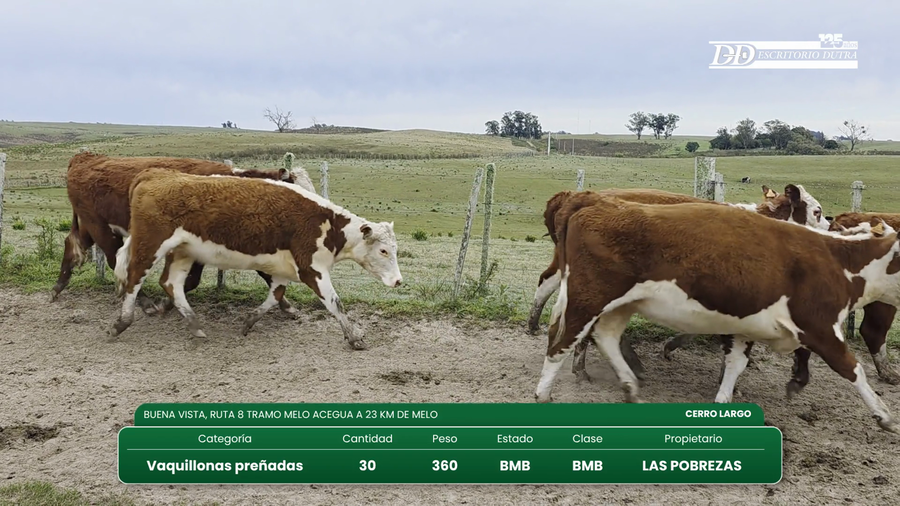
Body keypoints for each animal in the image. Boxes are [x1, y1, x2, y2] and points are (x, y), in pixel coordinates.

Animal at [51, 152, 316, 315]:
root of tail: (85, 158)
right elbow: (192, 280)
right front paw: (165, 303)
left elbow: (266, 274)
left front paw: (287, 306)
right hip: (101, 228)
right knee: (116, 260)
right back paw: (145, 302)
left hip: (90, 226)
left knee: (72, 245)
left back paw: (57, 288)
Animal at [109, 168, 401, 350]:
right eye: (383, 251)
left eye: (395, 249)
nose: (398, 281)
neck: (326, 225)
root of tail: (154, 174)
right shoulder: (312, 270)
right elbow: (334, 303)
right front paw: (354, 338)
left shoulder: (285, 271)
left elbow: (275, 295)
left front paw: (249, 322)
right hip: (150, 245)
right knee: (134, 278)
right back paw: (122, 323)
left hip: (182, 252)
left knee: (172, 284)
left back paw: (195, 325)